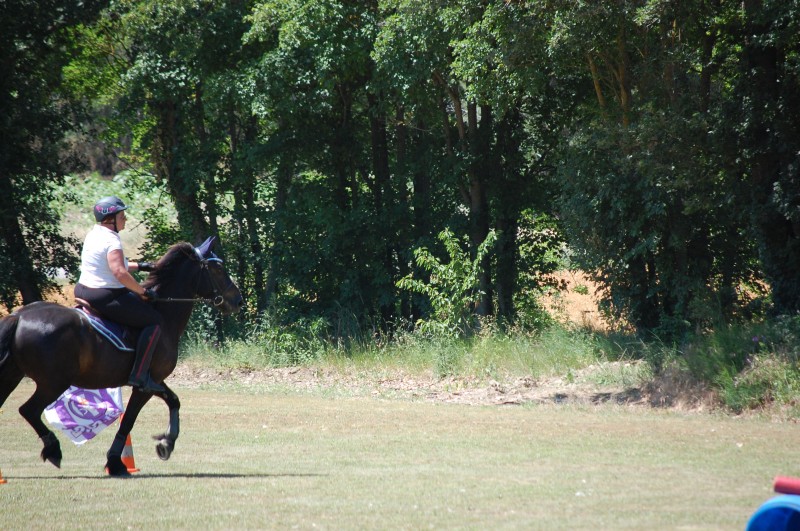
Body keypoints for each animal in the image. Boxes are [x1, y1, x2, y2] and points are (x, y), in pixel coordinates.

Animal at [0, 236, 243, 476]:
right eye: (218, 269)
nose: (238, 301)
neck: (164, 315)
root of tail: (19, 316)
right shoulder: (144, 386)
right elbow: (128, 421)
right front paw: (116, 462)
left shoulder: (155, 381)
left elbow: (174, 401)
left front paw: (166, 443)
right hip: (53, 383)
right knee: (29, 410)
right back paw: (53, 450)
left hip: (13, 376)